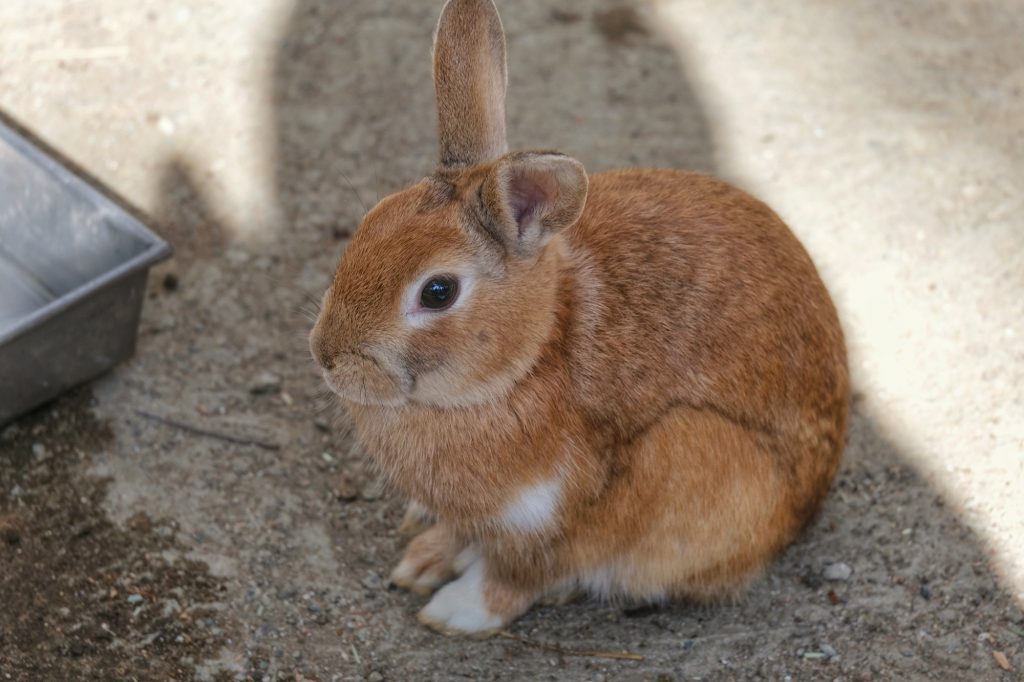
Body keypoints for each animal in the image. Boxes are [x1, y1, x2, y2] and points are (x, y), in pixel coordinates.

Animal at [309, 0, 849, 637]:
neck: (530, 356)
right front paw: (423, 561)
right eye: (369, 224)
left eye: (438, 292)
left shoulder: (557, 519)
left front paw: (456, 611)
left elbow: (521, 576)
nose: (327, 357)